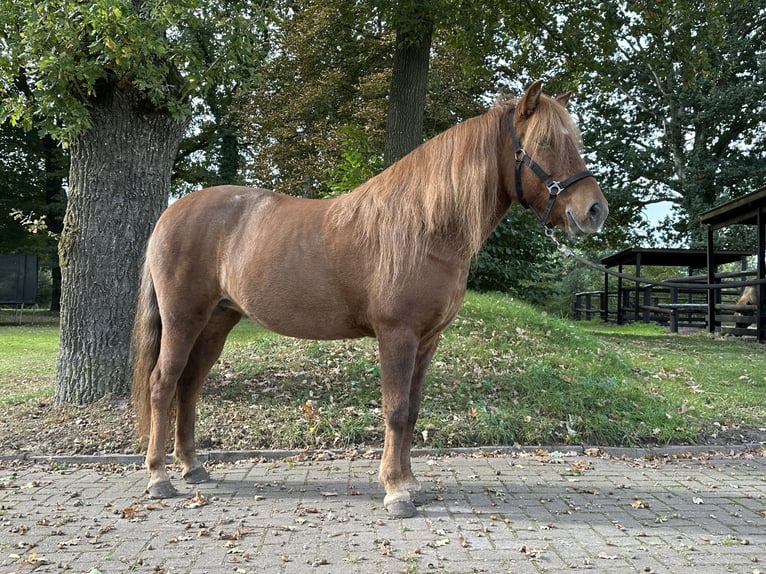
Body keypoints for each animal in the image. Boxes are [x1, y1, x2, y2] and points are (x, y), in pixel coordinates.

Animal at [131, 80, 608, 518]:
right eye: (545, 142)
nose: (594, 210)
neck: (426, 226)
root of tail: (171, 213)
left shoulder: (427, 339)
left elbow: (412, 411)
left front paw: (411, 484)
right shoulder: (396, 335)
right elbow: (395, 410)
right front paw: (396, 492)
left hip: (217, 321)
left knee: (189, 386)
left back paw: (192, 467)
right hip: (183, 319)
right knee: (163, 383)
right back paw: (159, 478)